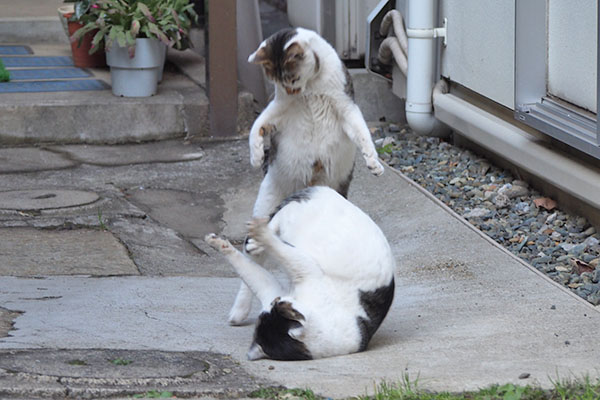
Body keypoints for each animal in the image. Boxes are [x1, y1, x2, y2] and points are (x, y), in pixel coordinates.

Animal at [204, 186, 396, 360]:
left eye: (276, 303)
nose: (277, 300)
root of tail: (324, 189)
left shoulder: (304, 269)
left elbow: (263, 261)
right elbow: (247, 264)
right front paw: (219, 243)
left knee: (275, 234)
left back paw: (259, 236)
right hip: (295, 215)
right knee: (274, 223)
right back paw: (255, 240)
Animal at [230, 28, 384, 326]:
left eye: (291, 78)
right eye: (278, 81)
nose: (291, 89)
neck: (310, 89)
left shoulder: (346, 106)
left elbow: (362, 133)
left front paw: (374, 162)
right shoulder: (278, 108)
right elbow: (257, 125)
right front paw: (256, 155)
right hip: (266, 202)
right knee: (252, 263)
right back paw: (239, 309)